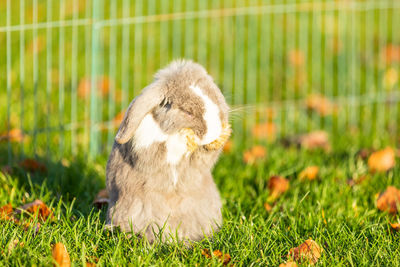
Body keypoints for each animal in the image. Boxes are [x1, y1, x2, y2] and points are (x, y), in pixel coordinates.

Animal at [106, 59, 231, 244]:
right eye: (187, 111)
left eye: (216, 98)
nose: (215, 129)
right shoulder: (146, 149)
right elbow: (165, 149)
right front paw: (184, 141)